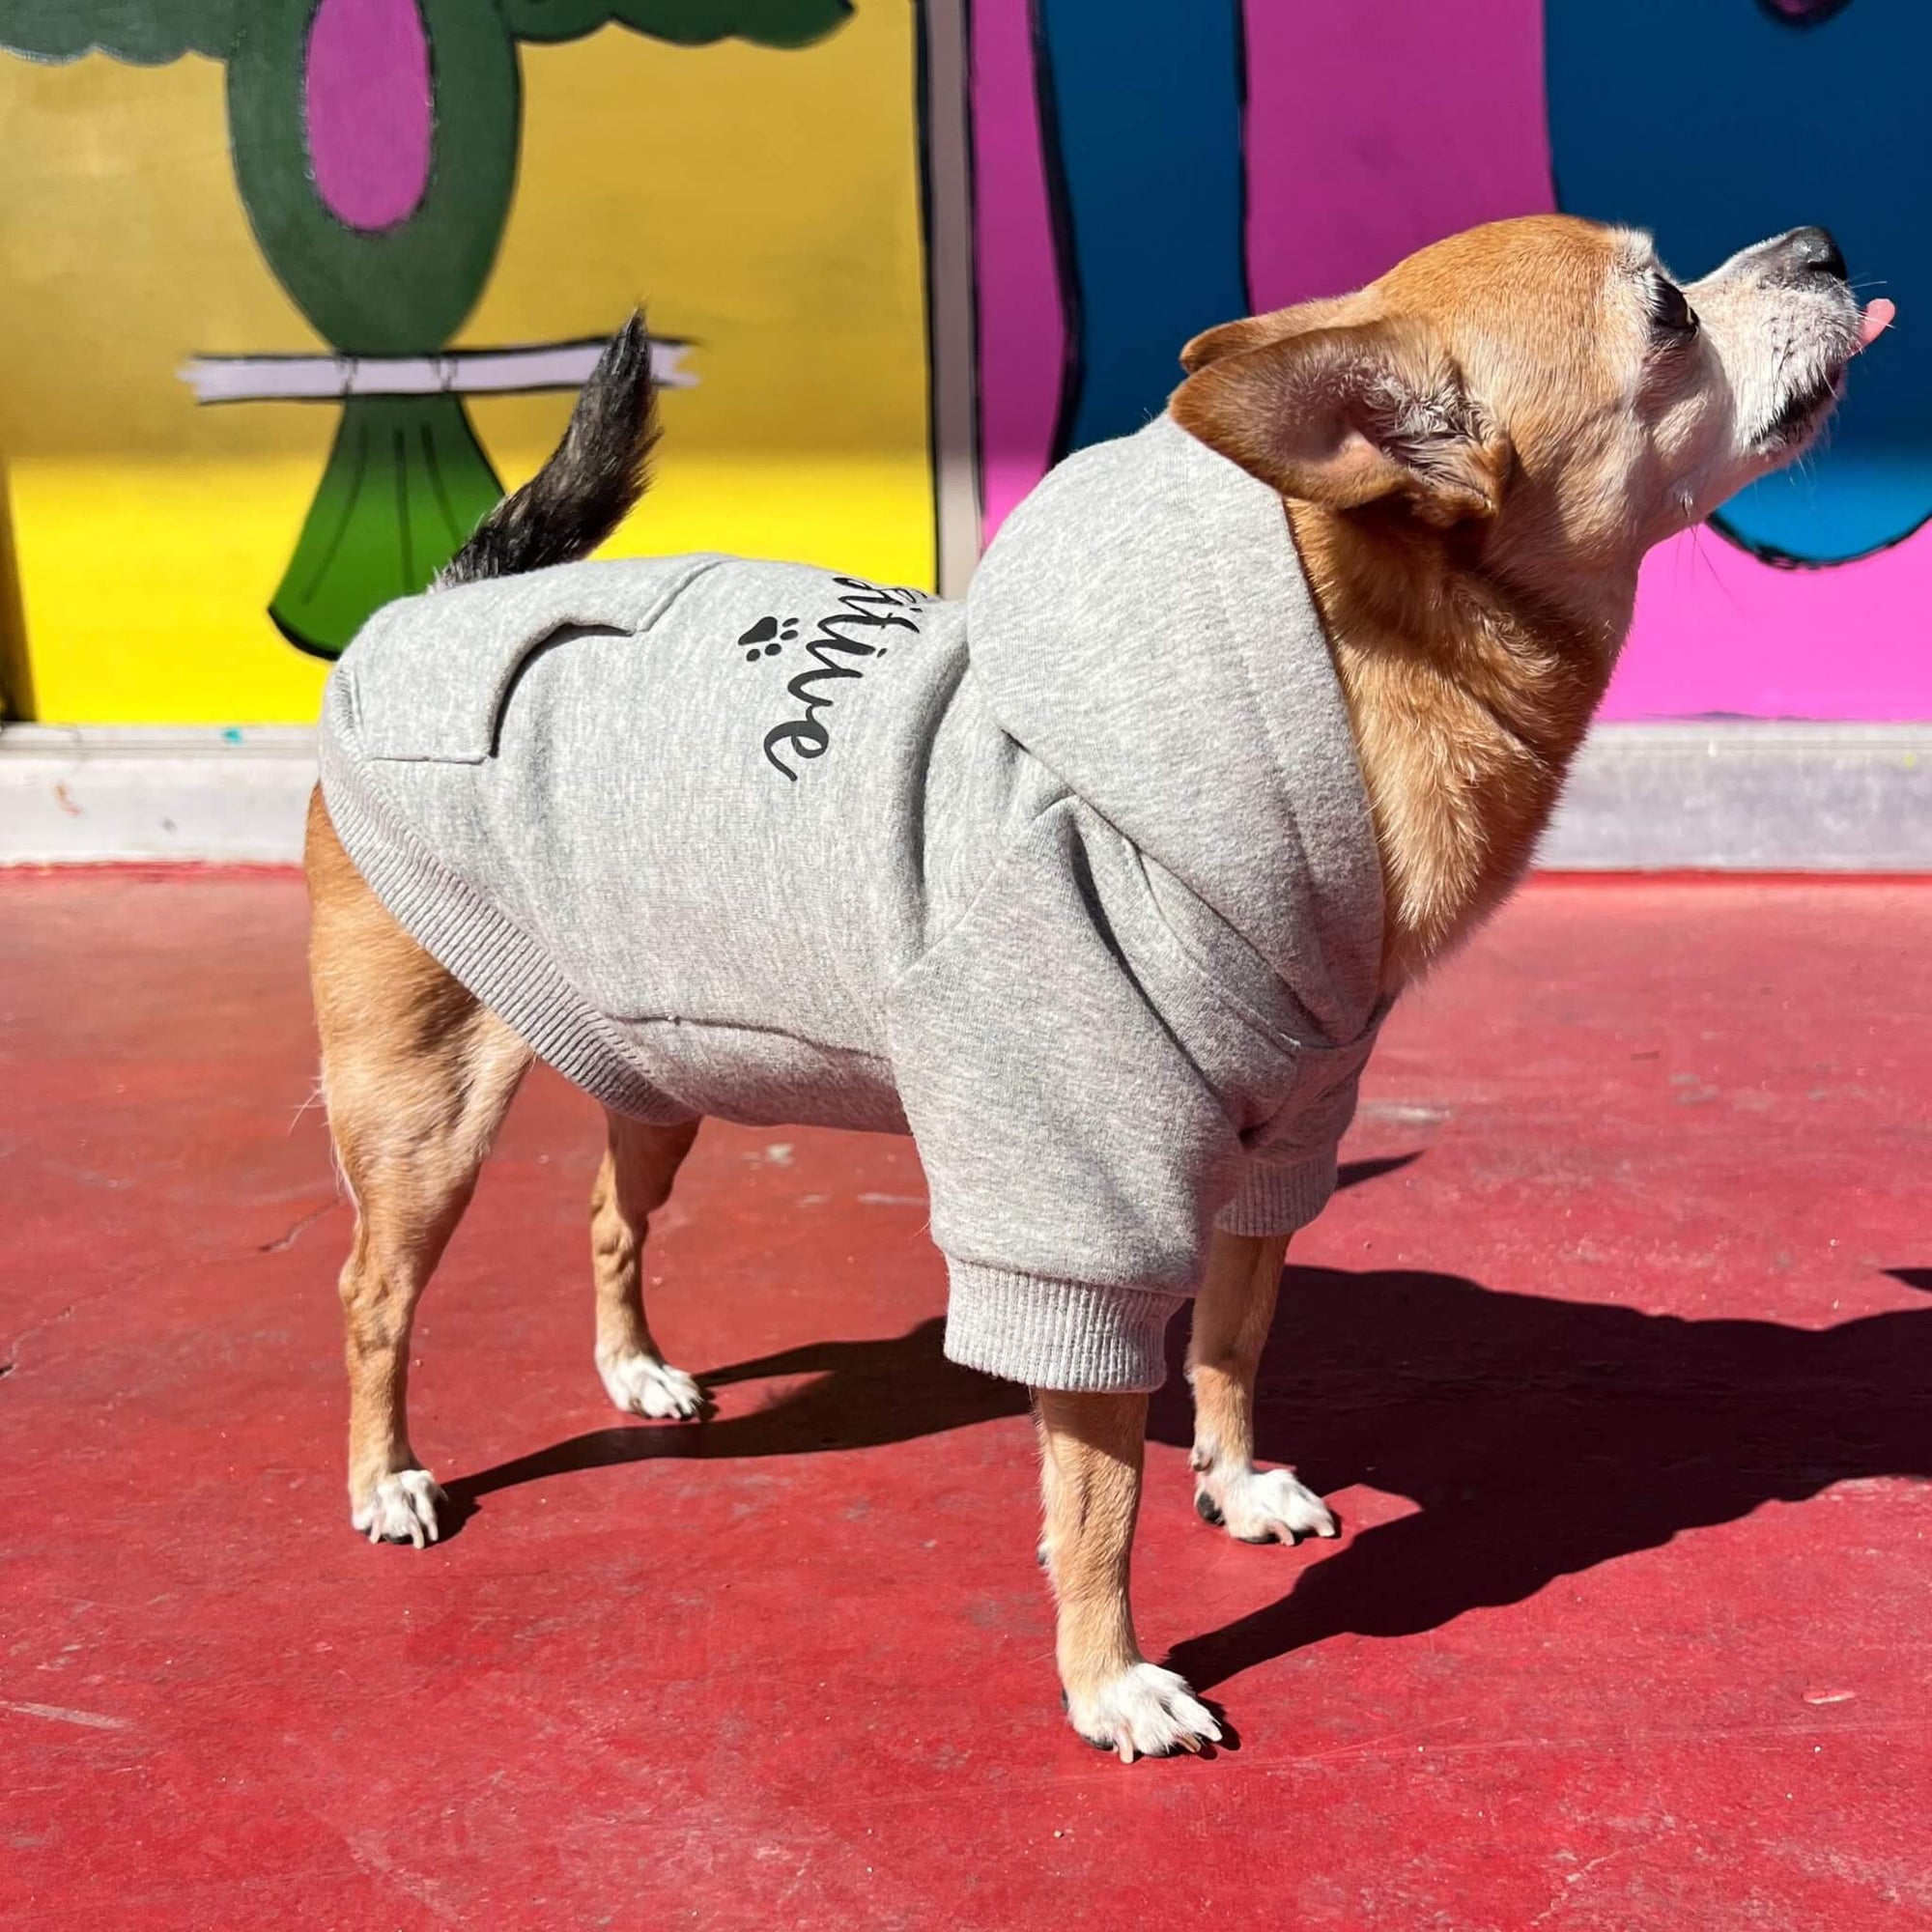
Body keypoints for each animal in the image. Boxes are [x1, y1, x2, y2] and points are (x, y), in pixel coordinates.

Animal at [301, 215, 1886, 1770]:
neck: (1364, 692)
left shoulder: (1276, 1148)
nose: (1817, 242)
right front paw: (1110, 1677)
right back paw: (386, 1475)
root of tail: (443, 604)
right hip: (424, 1112)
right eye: (1668, 311)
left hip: (663, 1057)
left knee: (609, 1211)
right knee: (373, 1292)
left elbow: (1234, 1342)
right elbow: (1098, 1492)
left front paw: (1234, 1483)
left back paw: (632, 1370)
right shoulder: (1082, 1216)